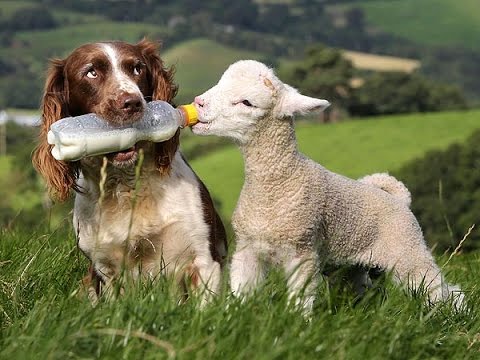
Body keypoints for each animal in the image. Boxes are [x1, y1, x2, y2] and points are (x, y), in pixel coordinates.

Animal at [31, 39, 227, 302]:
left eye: (137, 68)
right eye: (91, 72)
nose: (132, 103)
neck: (127, 185)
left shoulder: (203, 260)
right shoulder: (105, 269)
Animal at [191, 60, 464, 310]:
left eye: (247, 103)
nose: (198, 102)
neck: (278, 184)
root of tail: (399, 199)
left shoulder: (303, 251)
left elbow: (300, 299)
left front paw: (297, 323)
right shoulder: (248, 249)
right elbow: (241, 292)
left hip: (407, 250)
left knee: (439, 288)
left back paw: (452, 314)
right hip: (352, 266)